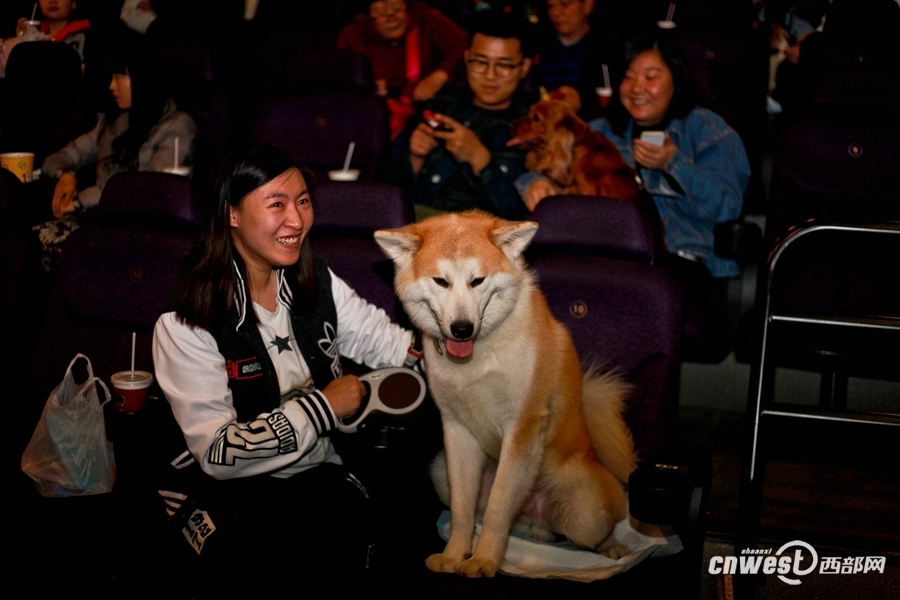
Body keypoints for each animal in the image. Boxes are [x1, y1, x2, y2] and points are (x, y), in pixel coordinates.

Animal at [376, 213, 636, 580]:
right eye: (441, 281)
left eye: (477, 280)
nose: (461, 329)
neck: (477, 358)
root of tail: (534, 514)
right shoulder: (457, 431)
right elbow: (462, 511)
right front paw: (455, 555)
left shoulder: (522, 429)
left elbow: (499, 510)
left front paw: (484, 561)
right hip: (440, 472)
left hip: (584, 514)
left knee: (593, 530)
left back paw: (611, 547)